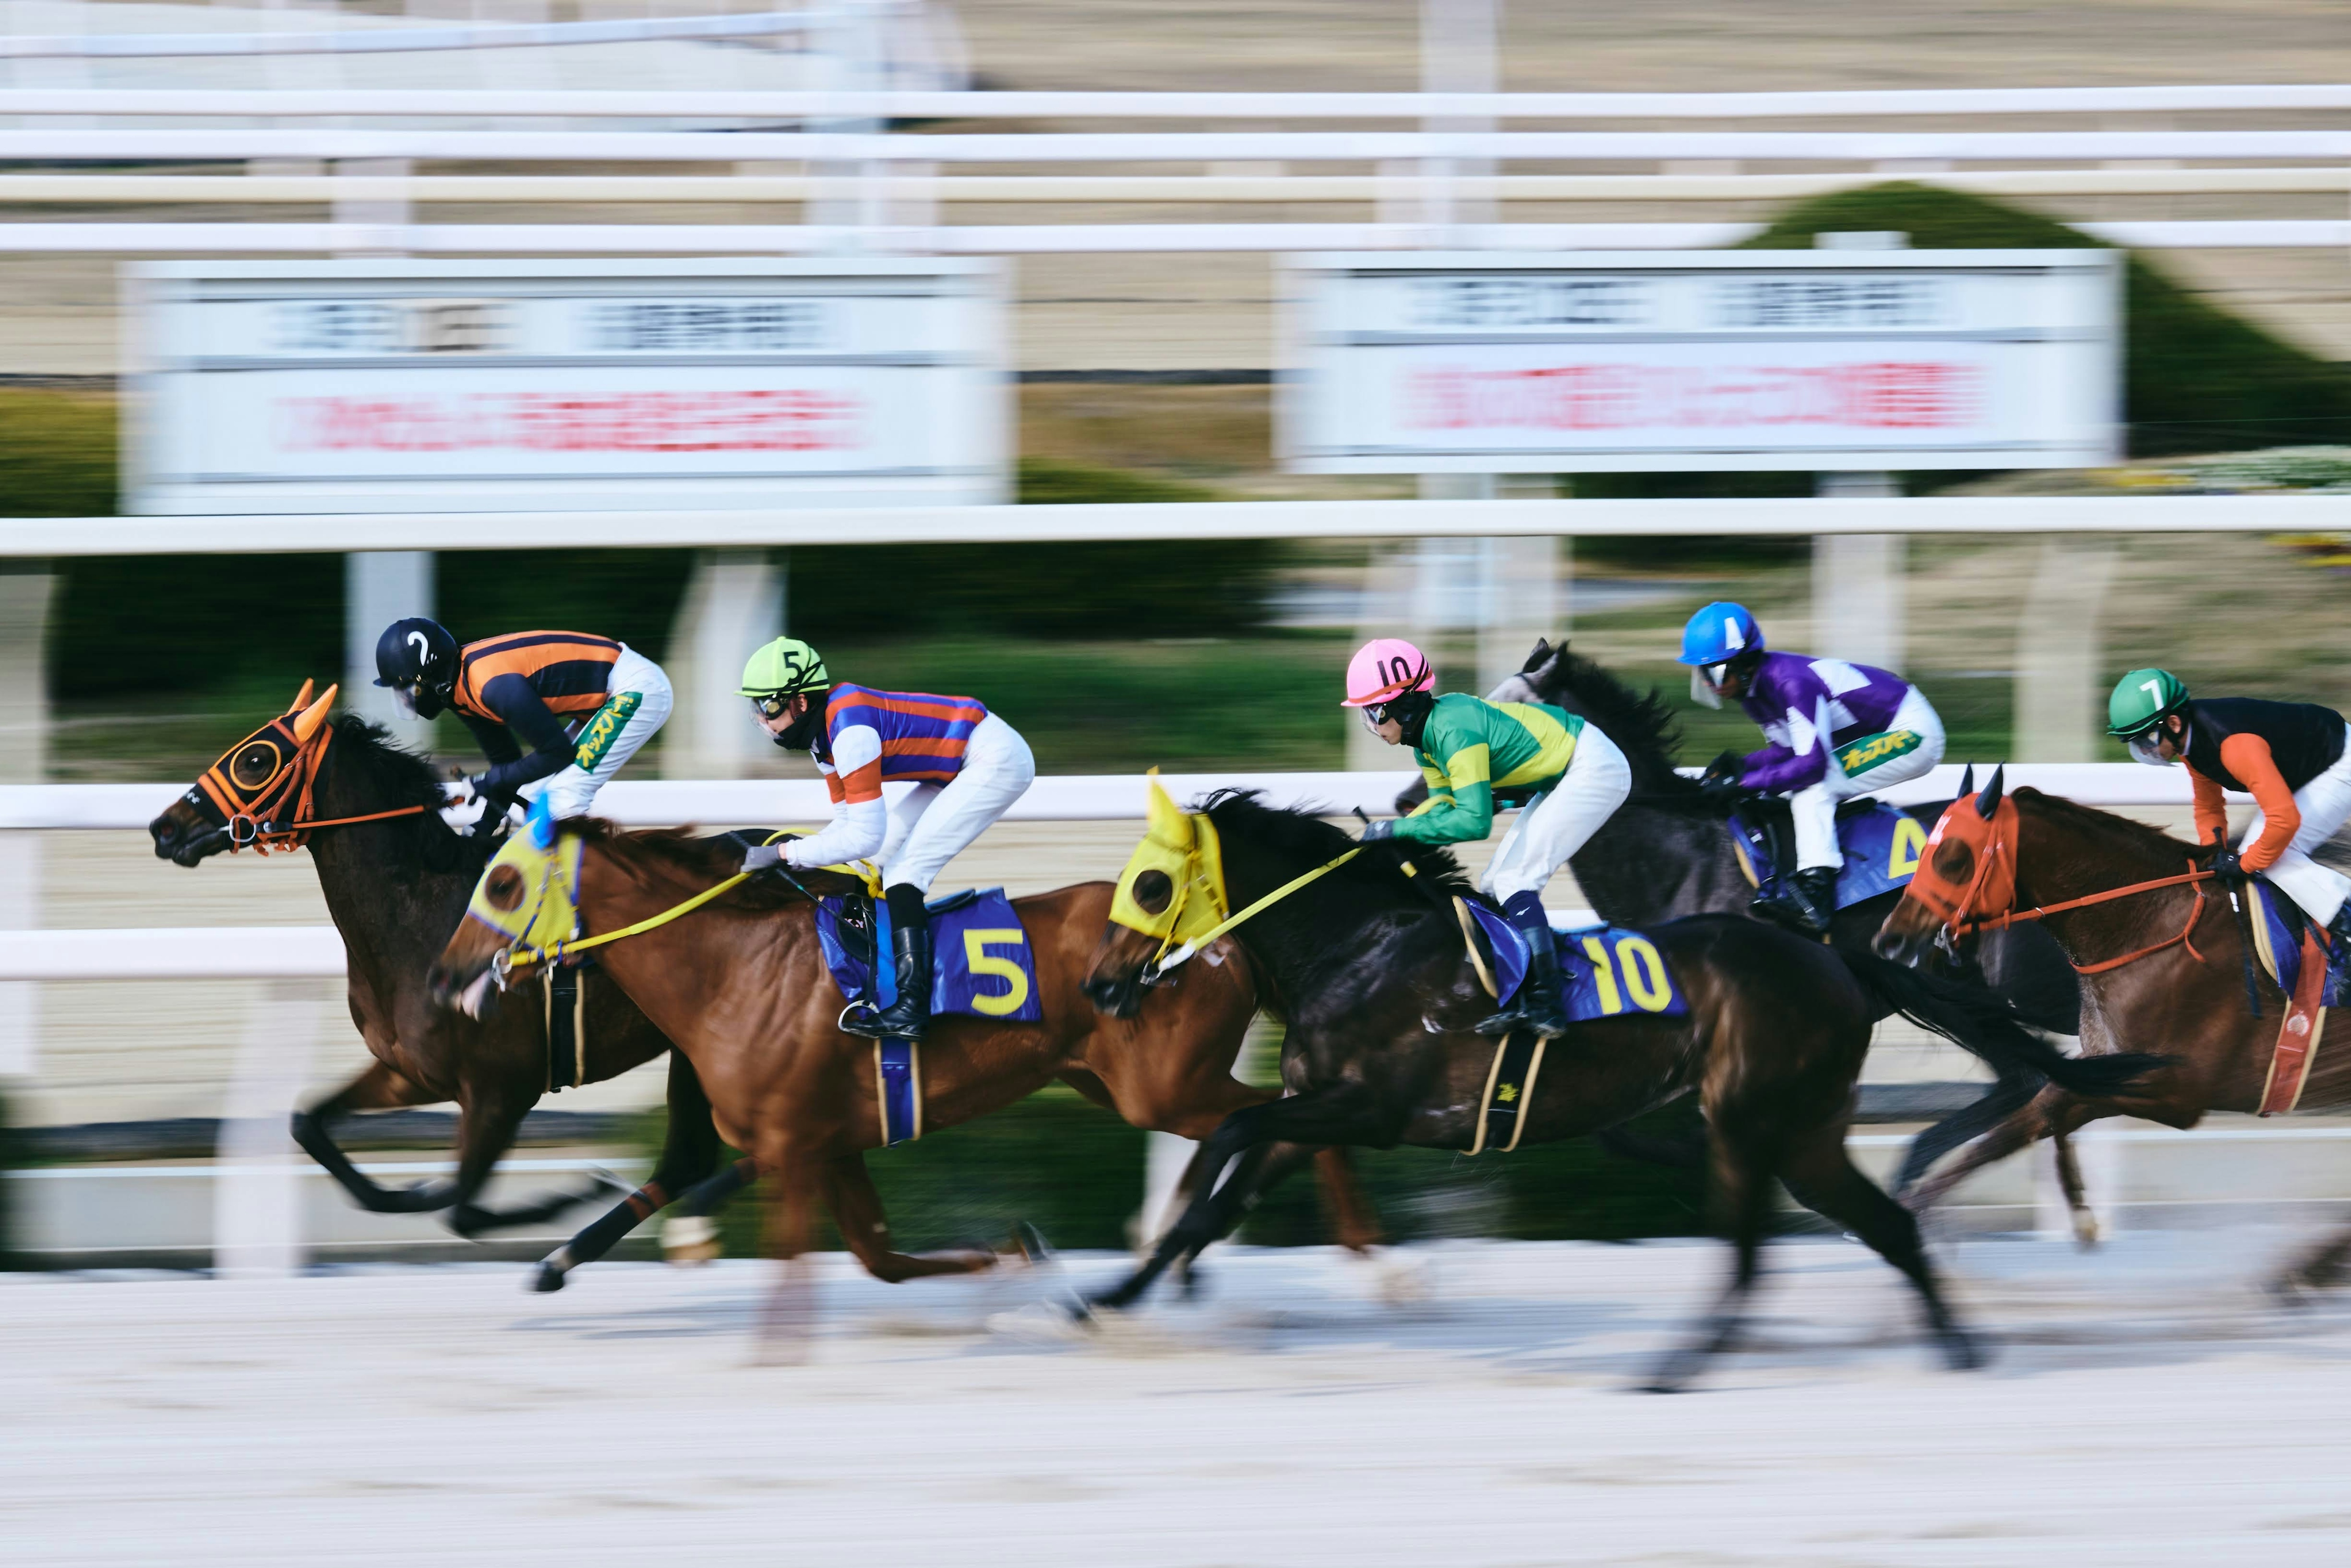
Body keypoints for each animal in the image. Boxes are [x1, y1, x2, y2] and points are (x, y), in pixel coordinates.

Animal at [151, 686, 719, 1278]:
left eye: (256, 760)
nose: (164, 827)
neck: (422, 921)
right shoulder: (412, 1073)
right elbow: (311, 1127)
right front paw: (412, 1189)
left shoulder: (503, 1092)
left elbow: (462, 1208)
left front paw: (575, 1191)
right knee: (692, 1160)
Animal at [427, 822, 1373, 1326]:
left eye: (502, 881)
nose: (441, 976)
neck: (735, 966)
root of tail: (1214, 936)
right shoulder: (835, 1143)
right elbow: (880, 1257)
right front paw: (1018, 1251)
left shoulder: (796, 1140)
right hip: (1117, 1084)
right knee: (1269, 1121)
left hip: (1164, 1085)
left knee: (1282, 1116)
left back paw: (1366, 1264)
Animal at [1076, 790, 2153, 1392]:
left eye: (1151, 887)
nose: (1099, 985)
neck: (1362, 946)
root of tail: (1838, 960)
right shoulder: (1318, 1108)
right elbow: (1225, 1187)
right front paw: (1114, 1296)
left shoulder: (1368, 1106)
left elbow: (1231, 1137)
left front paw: (1167, 1277)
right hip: (1801, 1129)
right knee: (1880, 1225)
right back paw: (1959, 1352)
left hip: (1756, 1114)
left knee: (1759, 1244)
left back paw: (1678, 1367)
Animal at [1881, 766, 2351, 1297]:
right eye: (1922, 850)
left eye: (1955, 856)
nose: (1891, 938)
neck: (2147, 924)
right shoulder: (2111, 1066)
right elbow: (2034, 1118)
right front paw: (2080, 1217)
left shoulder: (2178, 1090)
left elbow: (2039, 1113)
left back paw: (2311, 1267)